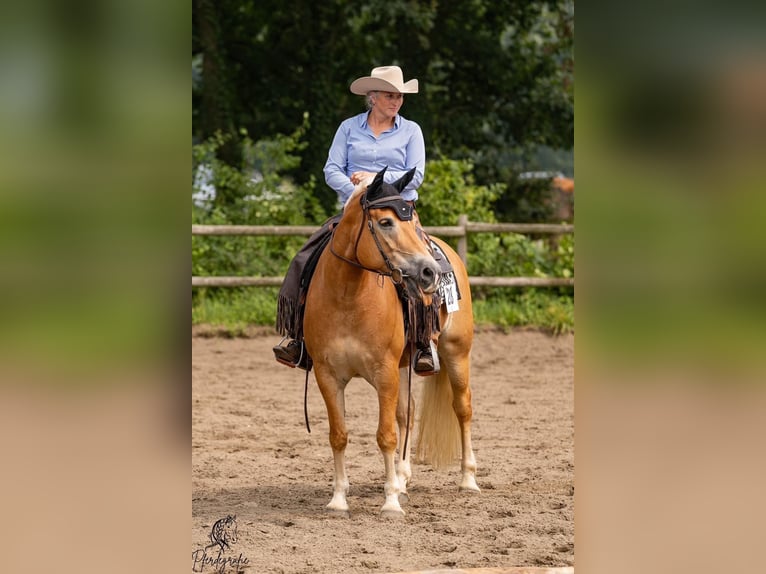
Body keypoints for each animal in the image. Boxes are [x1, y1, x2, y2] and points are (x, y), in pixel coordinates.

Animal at [302, 169, 476, 520]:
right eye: (385, 222)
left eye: (411, 221)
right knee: (407, 414)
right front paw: (339, 499)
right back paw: (403, 478)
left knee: (462, 408)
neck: (348, 297)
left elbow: (385, 436)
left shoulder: (384, 374)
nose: (429, 272)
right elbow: (339, 435)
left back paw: (468, 479)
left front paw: (391, 502)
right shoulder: (328, 376)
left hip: (456, 353)